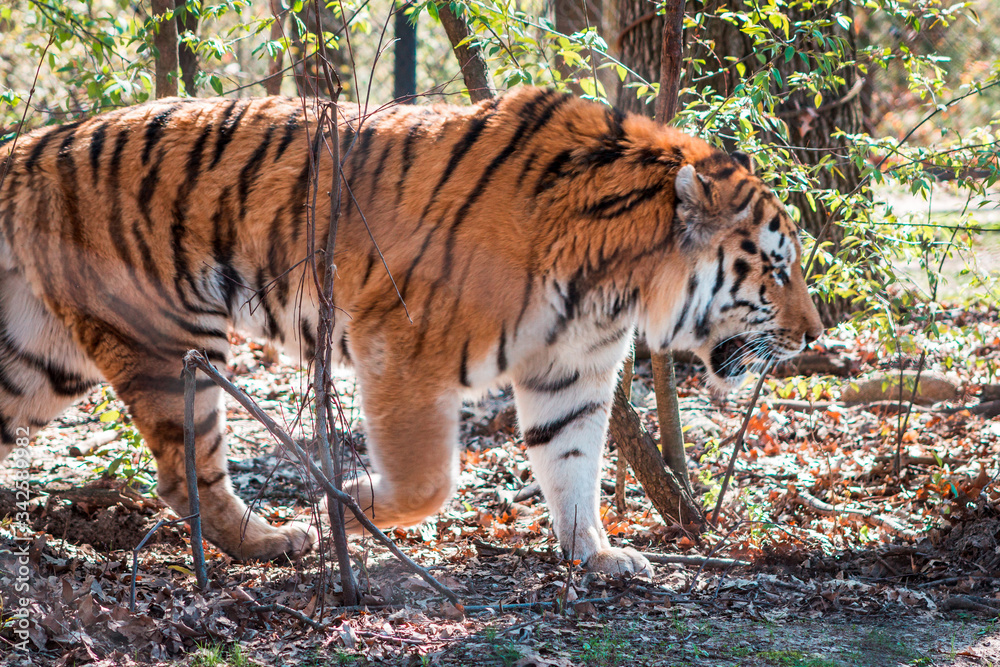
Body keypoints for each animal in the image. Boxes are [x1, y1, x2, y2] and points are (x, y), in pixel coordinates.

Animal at [0, 87, 823, 576]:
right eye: (777, 267)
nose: (816, 335)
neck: (613, 283)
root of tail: (34, 144)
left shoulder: (571, 369)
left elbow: (573, 465)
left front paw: (597, 554)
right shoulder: (401, 345)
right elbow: (431, 481)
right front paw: (347, 504)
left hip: (40, 359)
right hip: (168, 344)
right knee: (186, 475)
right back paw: (277, 539)